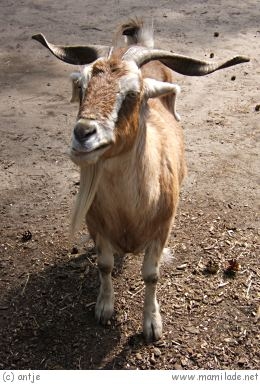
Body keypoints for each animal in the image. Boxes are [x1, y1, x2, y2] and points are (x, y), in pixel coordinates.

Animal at [33, 19, 250, 340]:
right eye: (82, 87)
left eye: (133, 93)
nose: (83, 134)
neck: (129, 213)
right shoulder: (96, 226)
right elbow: (105, 265)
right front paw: (104, 307)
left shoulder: (162, 230)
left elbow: (151, 274)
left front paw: (151, 324)